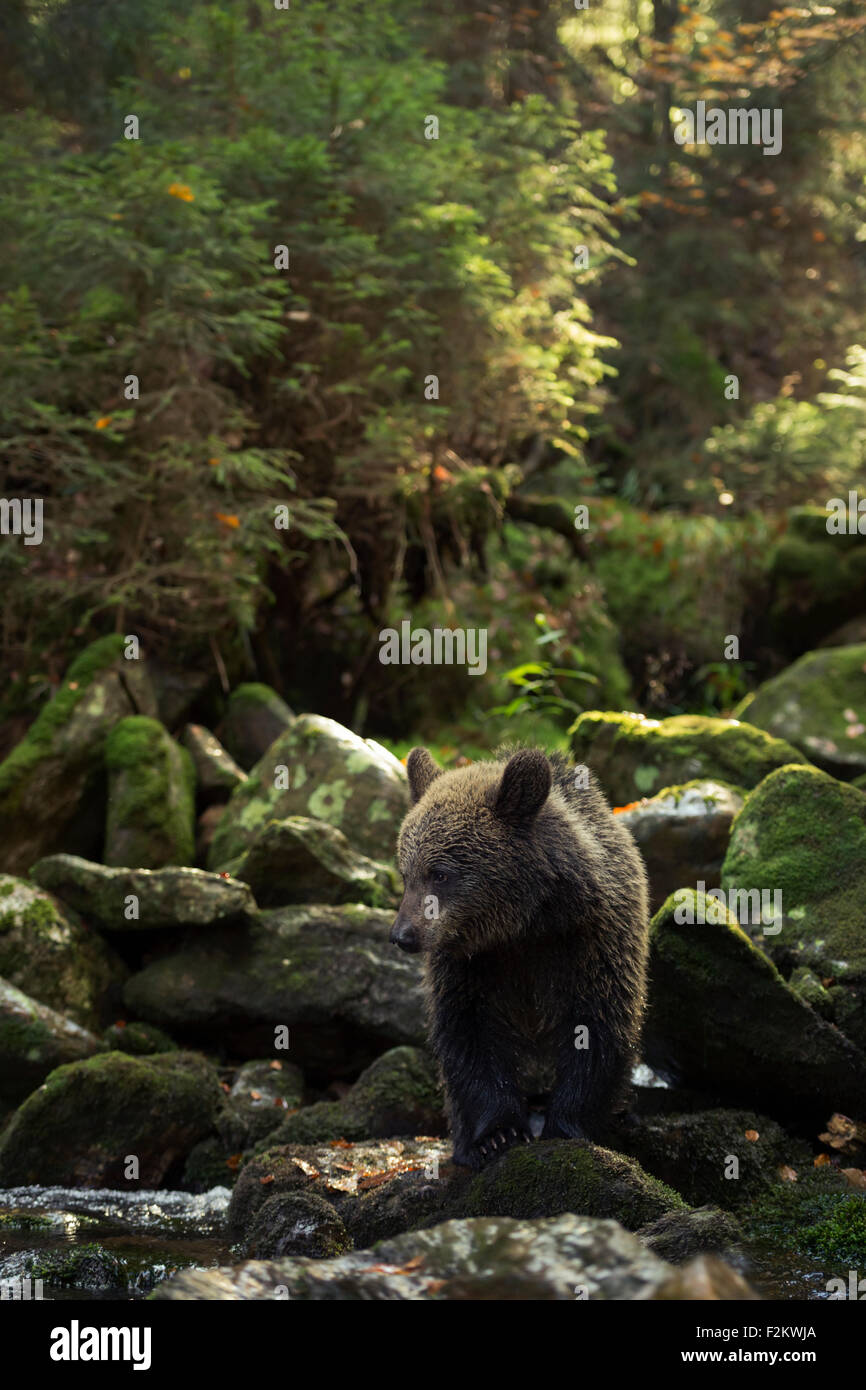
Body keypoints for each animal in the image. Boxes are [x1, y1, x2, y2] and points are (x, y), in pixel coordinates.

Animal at [390, 745, 649, 1169]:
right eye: (405, 872)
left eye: (440, 873)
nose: (402, 935)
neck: (523, 927)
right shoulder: (468, 966)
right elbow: (468, 1036)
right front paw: (496, 1135)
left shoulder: (590, 944)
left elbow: (598, 1028)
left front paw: (567, 1128)